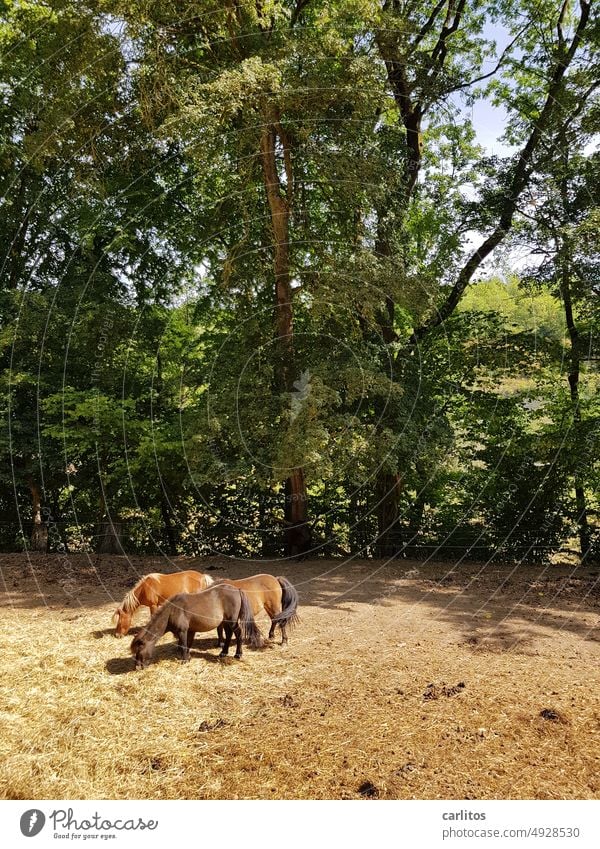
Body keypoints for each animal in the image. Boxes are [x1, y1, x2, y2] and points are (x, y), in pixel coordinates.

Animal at [130, 584, 264, 668]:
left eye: (139, 650)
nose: (137, 667)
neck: (172, 611)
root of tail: (237, 589)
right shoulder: (190, 631)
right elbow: (187, 645)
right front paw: (188, 657)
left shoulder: (182, 631)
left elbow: (183, 645)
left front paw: (184, 660)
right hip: (225, 622)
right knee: (229, 634)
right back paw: (223, 652)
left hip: (232, 621)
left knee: (238, 634)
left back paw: (238, 654)